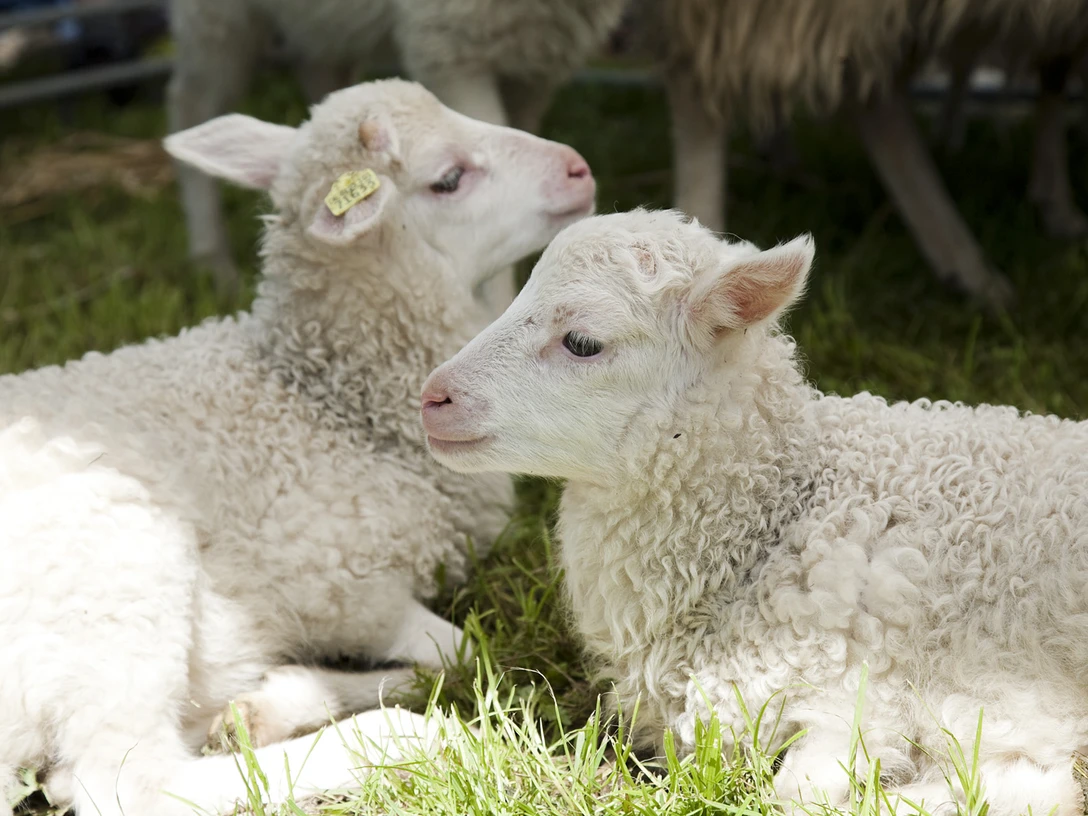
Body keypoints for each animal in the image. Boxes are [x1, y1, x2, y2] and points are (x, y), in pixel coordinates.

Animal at [0, 77, 596, 815]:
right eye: (448, 179)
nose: (579, 168)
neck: (323, 396)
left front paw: (266, 704)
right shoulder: (339, 584)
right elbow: (465, 650)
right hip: (116, 581)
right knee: (125, 780)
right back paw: (405, 737)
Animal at [167, 0, 626, 306]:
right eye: (448, 179)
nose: (577, 167)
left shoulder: (536, 57)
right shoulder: (450, 44)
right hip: (217, 18)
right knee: (190, 99)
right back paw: (211, 258)